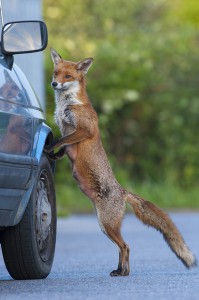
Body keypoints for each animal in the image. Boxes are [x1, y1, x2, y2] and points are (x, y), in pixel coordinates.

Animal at [45, 49, 197, 276]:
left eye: (68, 76)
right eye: (56, 73)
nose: (54, 84)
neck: (68, 104)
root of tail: (123, 191)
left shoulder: (84, 130)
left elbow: (60, 141)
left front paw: (48, 147)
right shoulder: (69, 133)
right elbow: (63, 147)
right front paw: (53, 155)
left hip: (106, 224)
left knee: (126, 246)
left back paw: (123, 272)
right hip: (104, 224)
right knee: (122, 247)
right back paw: (120, 271)